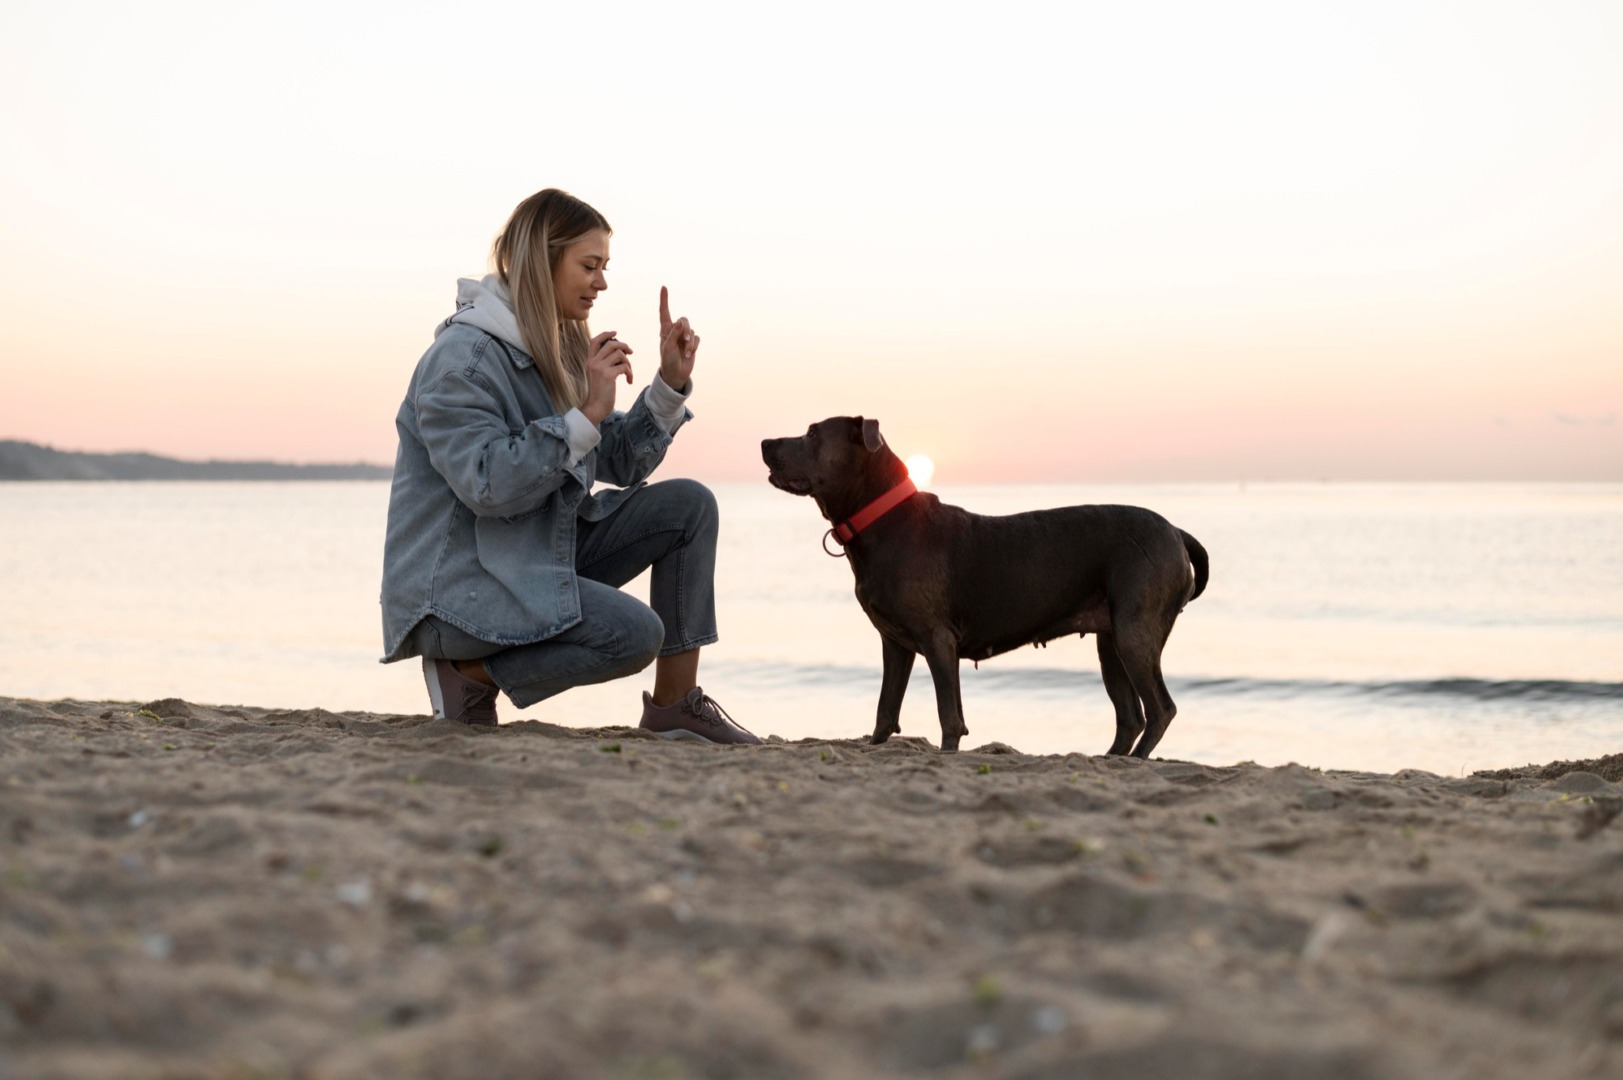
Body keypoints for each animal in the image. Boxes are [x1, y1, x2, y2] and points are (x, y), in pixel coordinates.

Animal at [759, 415, 1207, 753]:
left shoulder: (938, 640)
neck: (883, 519)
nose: (764, 441)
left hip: (1134, 632)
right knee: (1130, 716)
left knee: (1160, 710)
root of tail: (1176, 532)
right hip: (1110, 640)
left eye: (813, 433)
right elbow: (886, 710)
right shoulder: (896, 644)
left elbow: (949, 717)